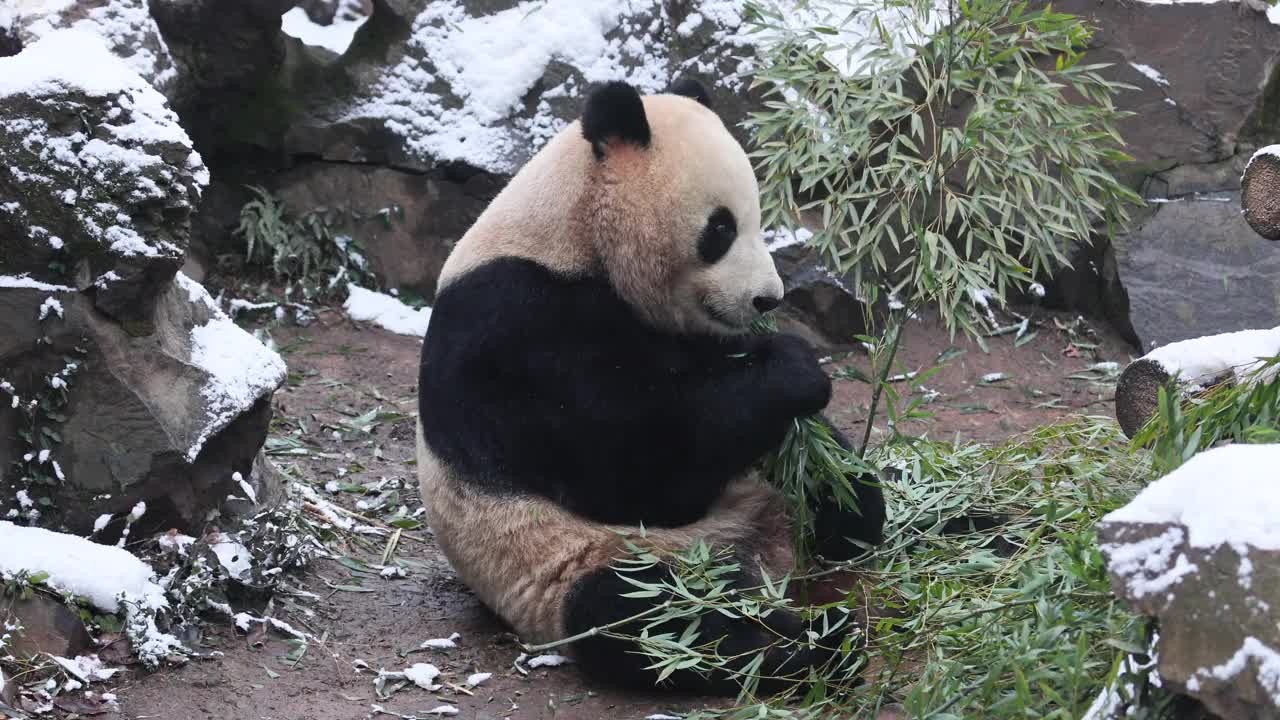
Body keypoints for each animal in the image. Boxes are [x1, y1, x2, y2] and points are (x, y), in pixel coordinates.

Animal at [414, 77, 885, 691]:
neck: (572, 232)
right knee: (657, 616)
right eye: (721, 228)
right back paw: (816, 643)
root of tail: (767, 555)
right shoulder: (514, 329)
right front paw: (794, 368)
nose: (767, 299)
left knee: (846, 505)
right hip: (571, 558)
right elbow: (634, 474)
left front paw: (805, 416)